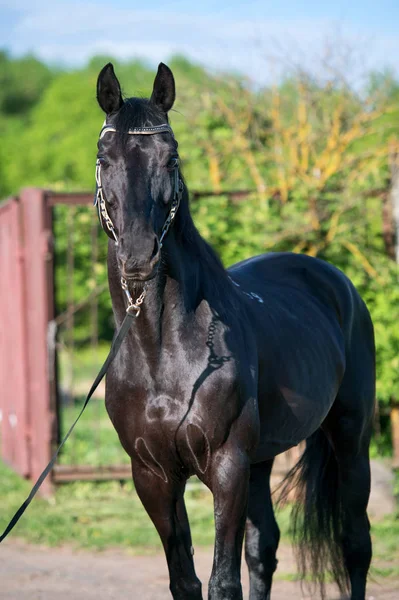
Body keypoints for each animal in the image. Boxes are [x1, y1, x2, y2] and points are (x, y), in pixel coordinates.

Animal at [95, 62, 376, 600]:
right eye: (104, 158)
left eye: (172, 157)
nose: (138, 258)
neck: (163, 356)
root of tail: (334, 279)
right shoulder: (154, 476)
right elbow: (186, 579)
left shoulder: (227, 467)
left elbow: (223, 582)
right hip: (261, 461)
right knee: (264, 549)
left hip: (350, 438)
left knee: (355, 544)